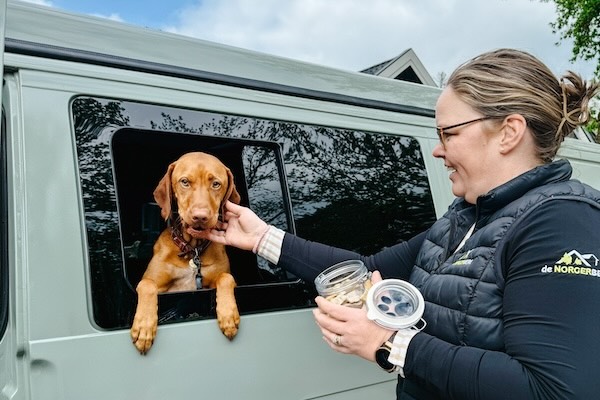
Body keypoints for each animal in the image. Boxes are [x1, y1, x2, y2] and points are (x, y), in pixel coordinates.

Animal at [131, 152, 241, 354]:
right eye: (184, 182)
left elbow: (225, 277)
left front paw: (228, 315)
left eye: (216, 184)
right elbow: (147, 284)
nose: (200, 217)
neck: (192, 249)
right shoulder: (154, 282)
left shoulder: (216, 279)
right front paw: (144, 326)